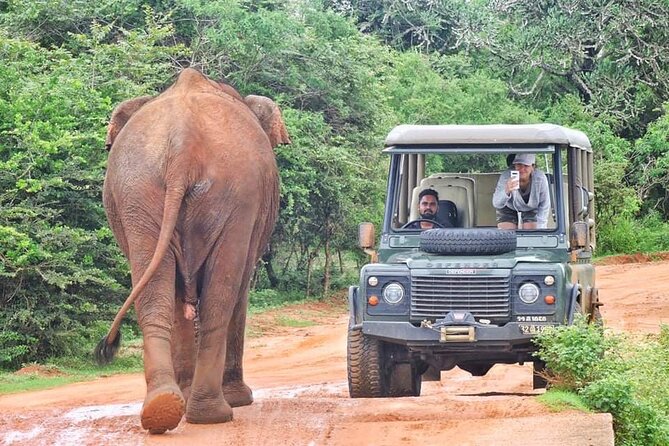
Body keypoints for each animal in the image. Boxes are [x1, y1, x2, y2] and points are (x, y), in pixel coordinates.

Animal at [95, 68, 288, 434]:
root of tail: (184, 145)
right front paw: (238, 399)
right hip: (232, 195)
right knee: (221, 298)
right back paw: (213, 412)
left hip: (140, 193)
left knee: (156, 295)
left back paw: (166, 408)